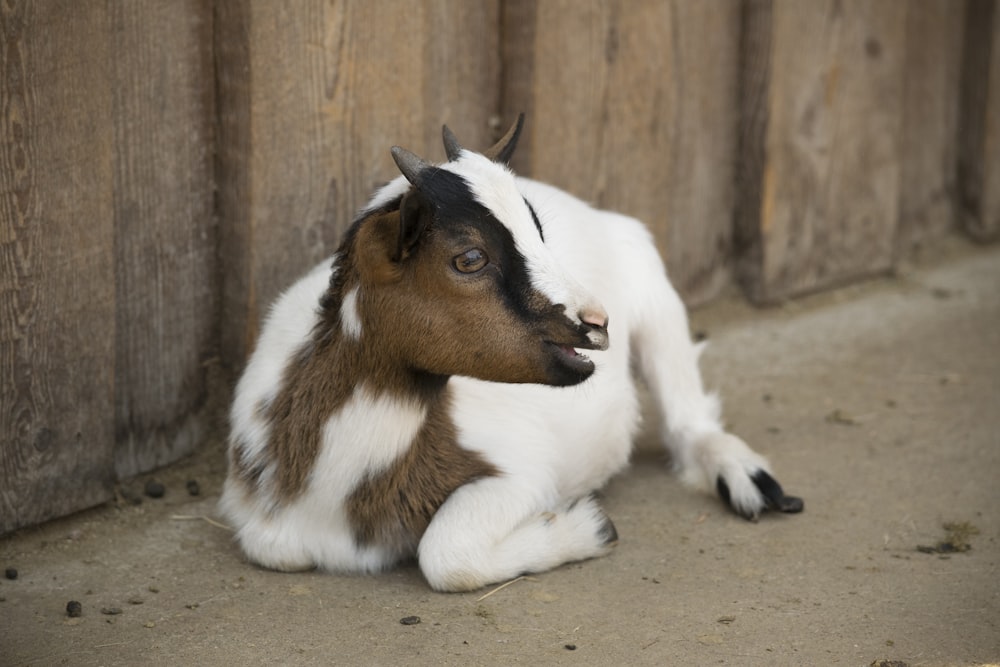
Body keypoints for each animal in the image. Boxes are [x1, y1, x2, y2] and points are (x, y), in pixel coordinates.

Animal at [221, 117, 804, 592]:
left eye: (538, 232)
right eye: (469, 258)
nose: (597, 322)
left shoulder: (522, 474)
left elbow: (445, 553)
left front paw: (589, 527)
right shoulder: (263, 527)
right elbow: (276, 548)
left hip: (654, 293)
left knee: (687, 416)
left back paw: (749, 480)